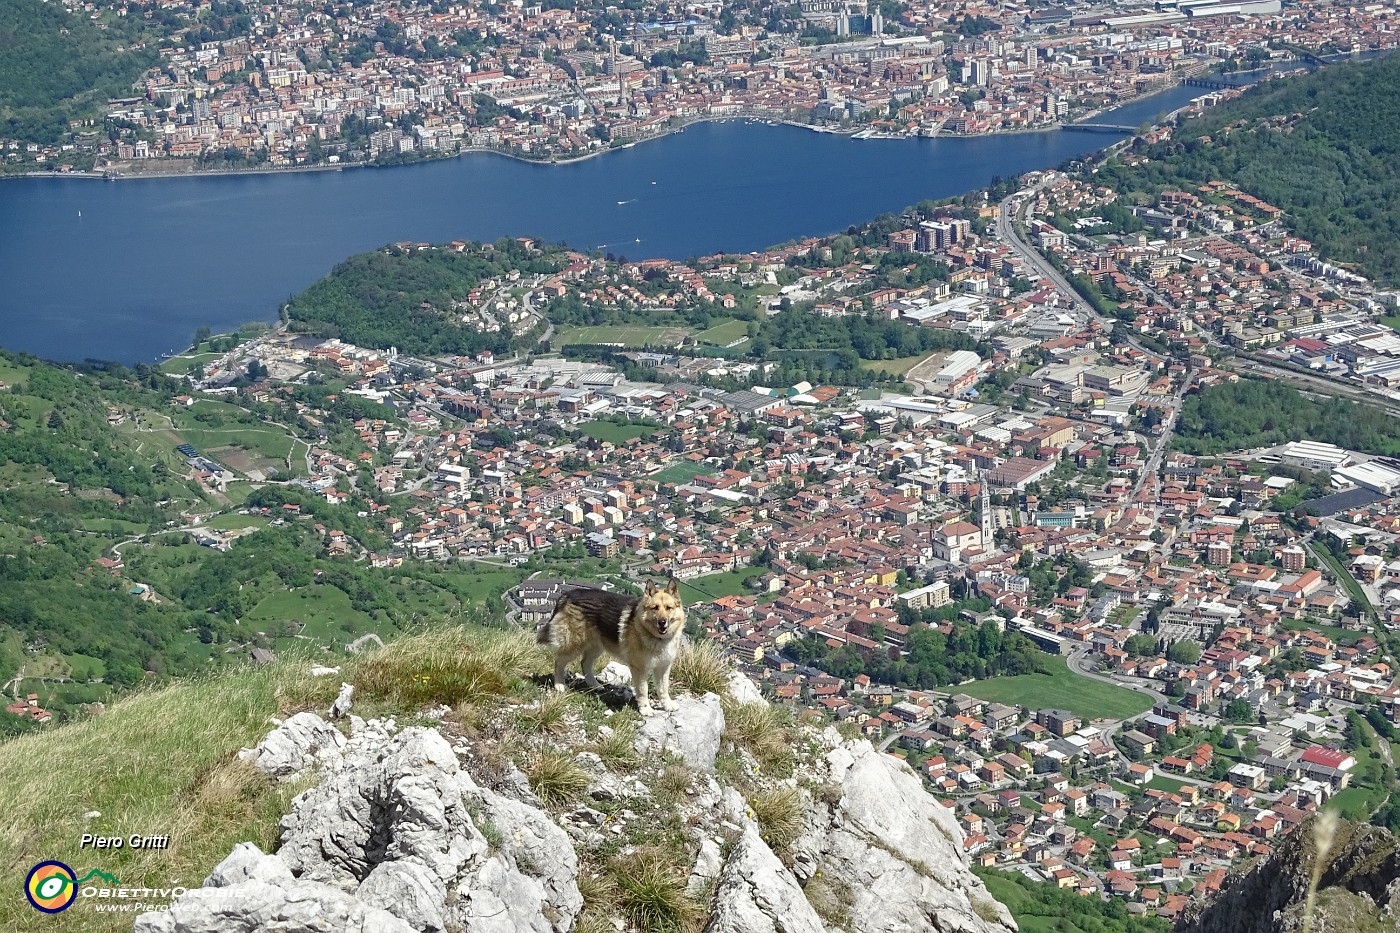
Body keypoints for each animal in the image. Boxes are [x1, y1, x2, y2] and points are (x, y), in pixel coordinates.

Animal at [532, 577, 686, 714]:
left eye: (668, 608)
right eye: (655, 608)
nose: (662, 622)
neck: (656, 637)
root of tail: (567, 594)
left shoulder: (663, 667)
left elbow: (663, 688)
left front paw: (667, 705)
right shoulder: (640, 669)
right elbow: (643, 690)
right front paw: (645, 709)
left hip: (596, 647)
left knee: (584, 663)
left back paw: (594, 685)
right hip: (574, 645)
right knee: (559, 662)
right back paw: (559, 684)